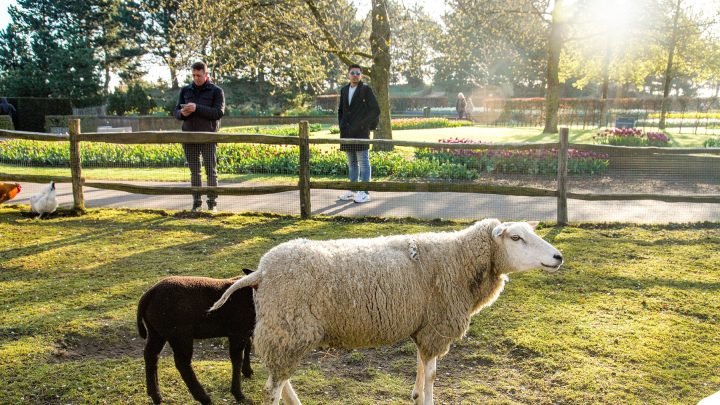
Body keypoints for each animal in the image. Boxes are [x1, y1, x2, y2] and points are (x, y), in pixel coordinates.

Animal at [208, 218, 564, 404]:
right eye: (516, 237)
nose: (558, 257)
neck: (458, 260)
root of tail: (260, 272)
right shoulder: (437, 326)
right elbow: (433, 373)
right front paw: (428, 398)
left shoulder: (424, 327)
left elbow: (422, 367)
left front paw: (416, 394)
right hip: (288, 328)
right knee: (274, 386)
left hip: (286, 333)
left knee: (280, 379)